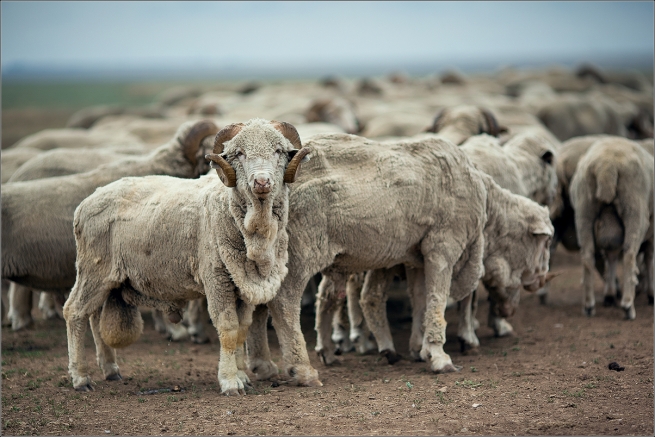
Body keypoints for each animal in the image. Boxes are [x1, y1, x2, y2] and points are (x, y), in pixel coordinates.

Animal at [62, 117, 312, 394]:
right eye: (239, 153)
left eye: (279, 151)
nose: (261, 182)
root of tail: (88, 200)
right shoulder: (217, 279)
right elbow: (228, 329)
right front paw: (229, 381)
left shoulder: (244, 283)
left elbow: (242, 329)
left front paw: (242, 375)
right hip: (93, 269)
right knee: (75, 312)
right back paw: (81, 378)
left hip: (107, 278)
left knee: (94, 317)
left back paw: (110, 369)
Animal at [572, 136, 652, 316]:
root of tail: (606, 165)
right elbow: (650, 259)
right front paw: (651, 294)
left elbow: (612, 256)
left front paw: (610, 295)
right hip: (634, 210)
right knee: (629, 254)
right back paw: (628, 306)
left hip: (584, 210)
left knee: (587, 256)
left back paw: (589, 306)